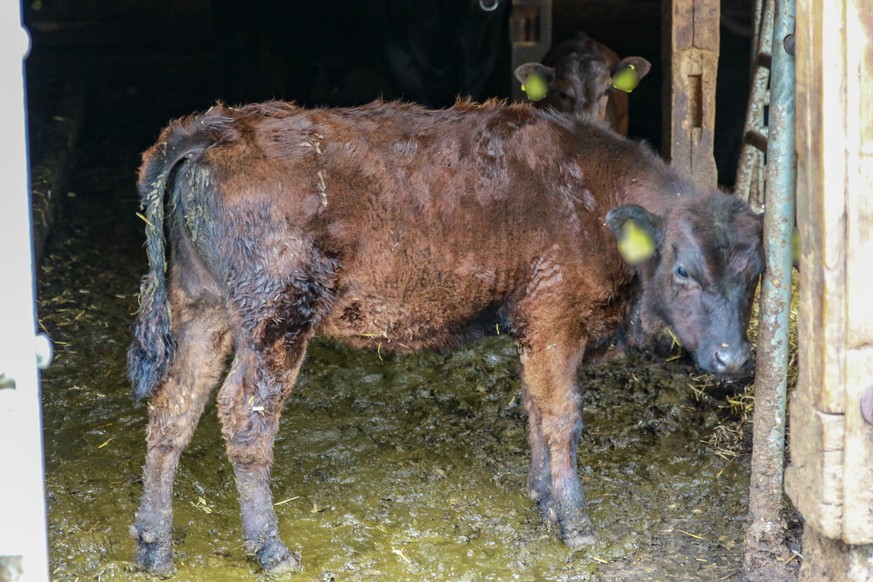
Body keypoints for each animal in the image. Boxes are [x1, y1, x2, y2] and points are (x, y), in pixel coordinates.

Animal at [126, 99, 760, 576]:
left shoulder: (533, 328)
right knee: (245, 416)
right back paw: (269, 548)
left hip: (202, 310)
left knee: (174, 408)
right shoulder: (556, 319)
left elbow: (534, 407)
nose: (733, 358)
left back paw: (155, 545)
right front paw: (575, 522)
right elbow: (562, 418)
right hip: (275, 317)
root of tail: (214, 128)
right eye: (683, 270)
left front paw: (543, 502)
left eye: (755, 274)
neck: (592, 197)